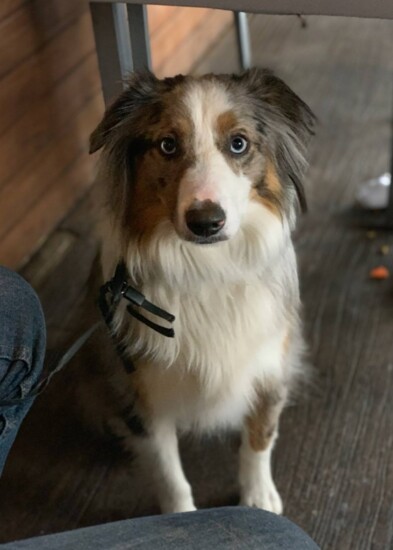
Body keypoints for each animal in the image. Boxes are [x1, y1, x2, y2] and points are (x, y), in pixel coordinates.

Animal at [88, 69, 312, 516]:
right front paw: (179, 518)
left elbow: (260, 437)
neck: (208, 267)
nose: (206, 221)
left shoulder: (271, 363)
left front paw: (258, 497)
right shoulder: (142, 390)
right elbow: (168, 470)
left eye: (238, 143)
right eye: (168, 145)